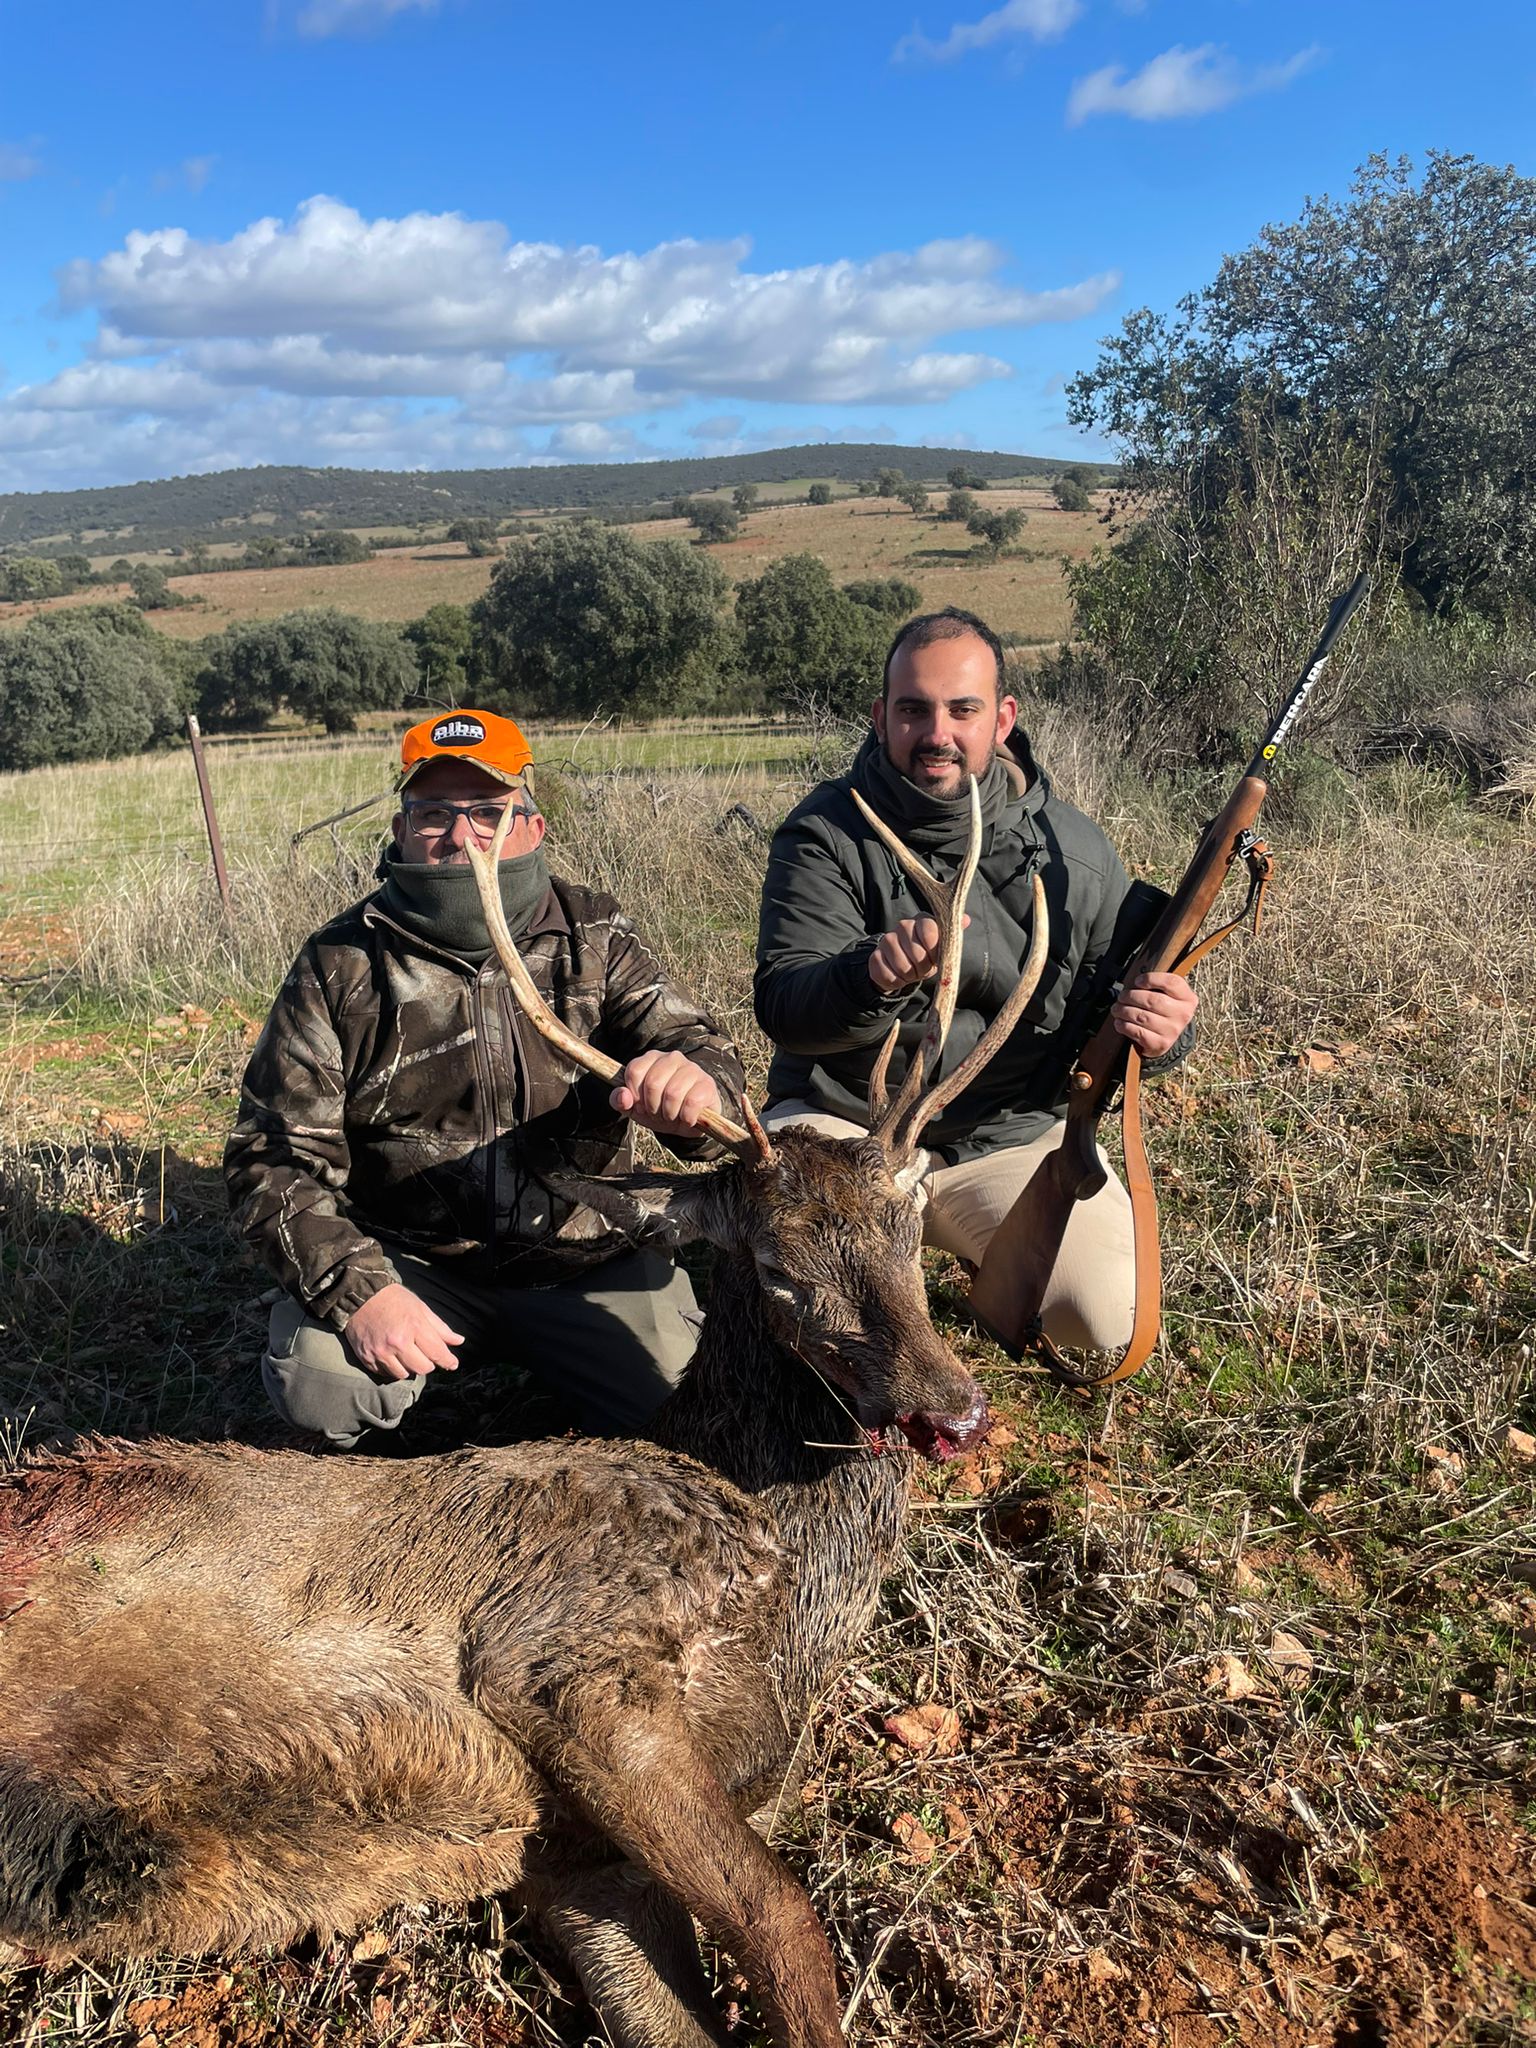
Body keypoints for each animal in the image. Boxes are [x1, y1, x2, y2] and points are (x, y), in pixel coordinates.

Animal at [0, 784, 1047, 2048]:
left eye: (910, 1224)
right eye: (779, 1269)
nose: (951, 1410)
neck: (782, 1583)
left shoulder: (573, 1862)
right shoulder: (558, 1649)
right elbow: (787, 1922)